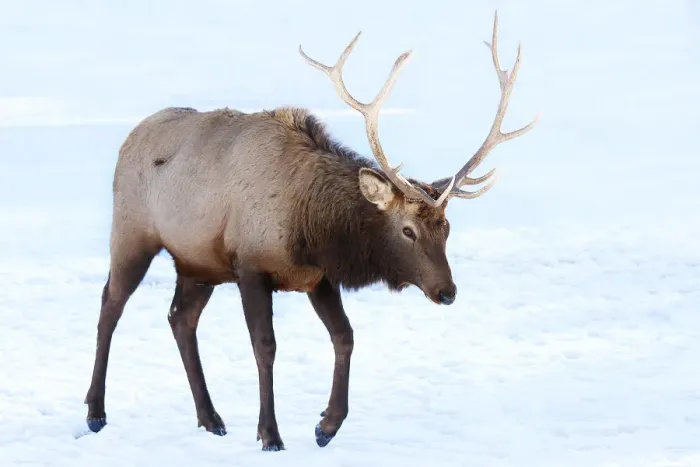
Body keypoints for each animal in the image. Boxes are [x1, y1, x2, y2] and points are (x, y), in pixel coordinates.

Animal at [83, 11, 537, 451]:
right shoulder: (251, 267)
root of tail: (129, 138)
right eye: (408, 231)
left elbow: (345, 336)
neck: (310, 226)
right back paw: (95, 411)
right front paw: (270, 434)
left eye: (446, 228)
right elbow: (265, 347)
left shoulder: (318, 278)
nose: (447, 291)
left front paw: (327, 425)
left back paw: (210, 418)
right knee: (110, 305)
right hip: (132, 234)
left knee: (180, 319)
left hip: (198, 264)